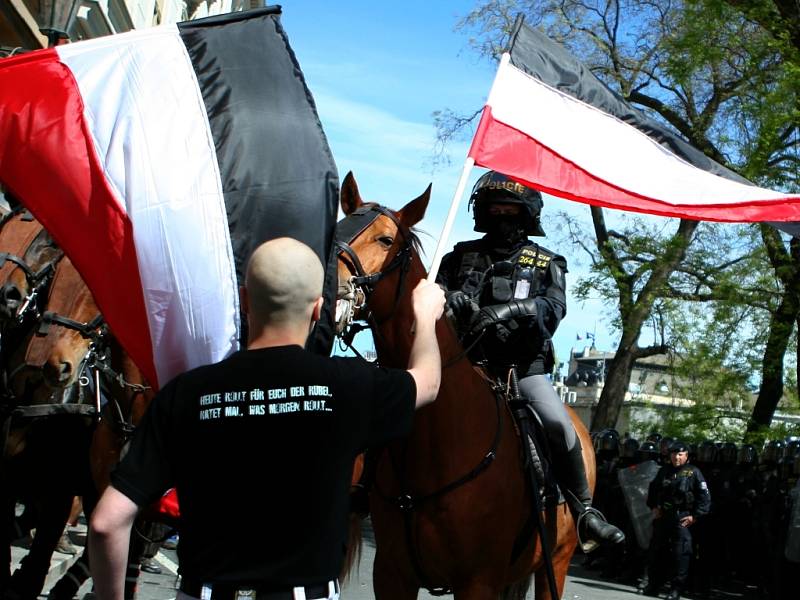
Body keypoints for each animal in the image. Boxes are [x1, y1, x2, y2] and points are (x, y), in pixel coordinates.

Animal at [334, 171, 592, 596]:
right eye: (339, 227)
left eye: (386, 240)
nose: (328, 284)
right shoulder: (392, 573)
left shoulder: (479, 582)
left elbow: (550, 304)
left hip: (554, 564)